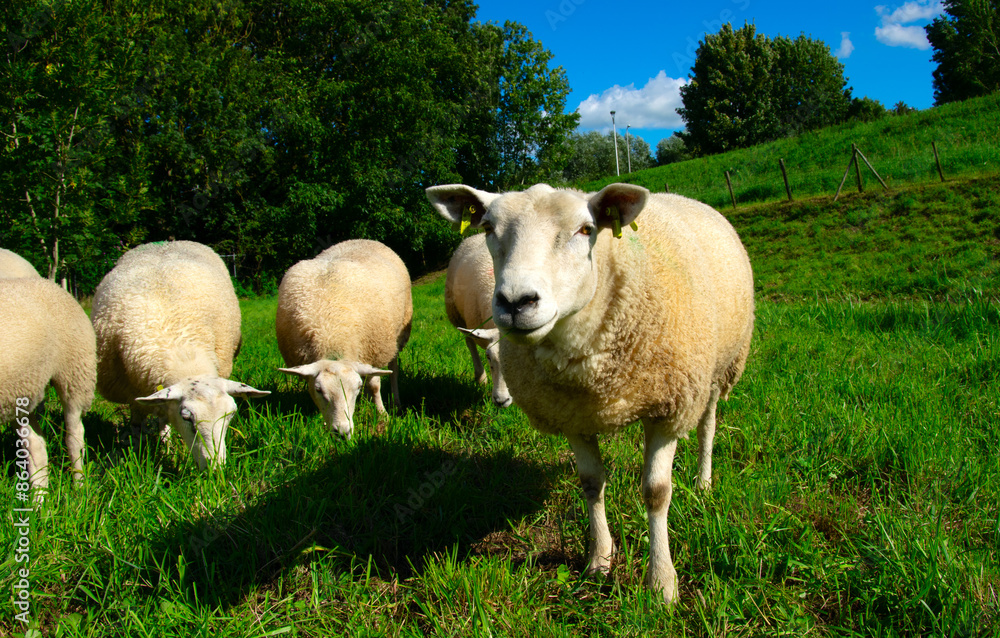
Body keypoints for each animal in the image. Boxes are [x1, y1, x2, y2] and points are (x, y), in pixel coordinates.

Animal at [0, 277, 96, 492]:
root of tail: (49, 283)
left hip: (75, 372)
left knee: (74, 435)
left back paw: (79, 486)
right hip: (20, 391)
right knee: (36, 446)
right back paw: (39, 498)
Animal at [91, 240, 269, 469]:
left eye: (230, 415)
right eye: (187, 418)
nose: (215, 469)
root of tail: (168, 241)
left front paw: (167, 450)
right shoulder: (133, 391)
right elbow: (137, 424)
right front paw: (140, 452)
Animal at [276, 239, 412, 439]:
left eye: (356, 388)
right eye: (319, 390)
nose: (342, 432)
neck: (330, 334)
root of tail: (360, 239)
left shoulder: (375, 349)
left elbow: (374, 385)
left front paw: (382, 414)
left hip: (395, 337)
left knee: (393, 369)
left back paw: (396, 401)